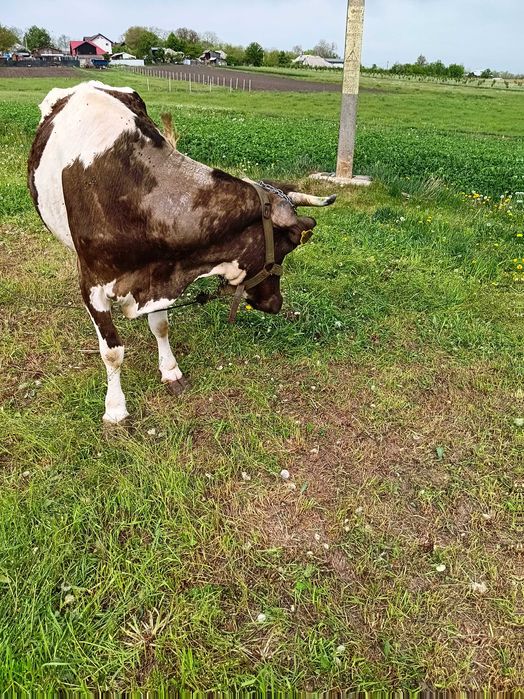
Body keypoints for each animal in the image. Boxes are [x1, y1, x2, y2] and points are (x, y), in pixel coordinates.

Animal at [28, 81, 336, 424]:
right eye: (287, 246)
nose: (275, 303)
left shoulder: (159, 274)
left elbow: (160, 326)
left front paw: (170, 371)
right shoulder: (93, 285)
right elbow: (112, 351)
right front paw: (115, 408)